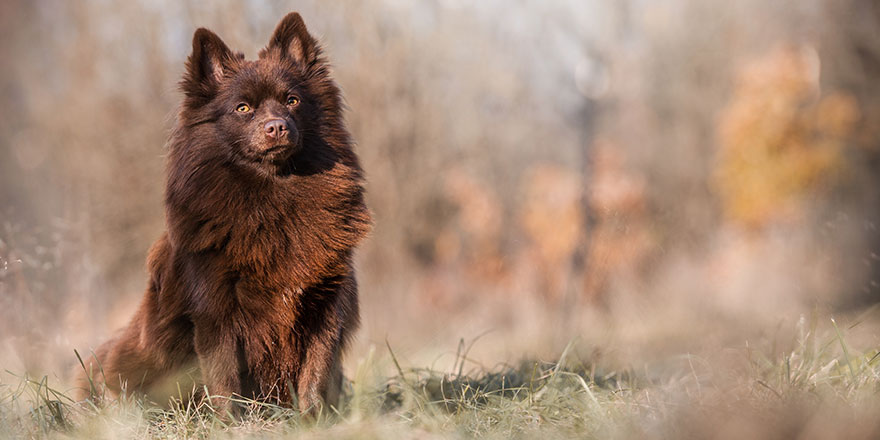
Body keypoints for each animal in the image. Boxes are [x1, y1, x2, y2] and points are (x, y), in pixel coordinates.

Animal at [77, 12, 372, 414]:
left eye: (292, 100)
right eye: (243, 108)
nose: (277, 127)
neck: (273, 194)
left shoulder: (326, 303)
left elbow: (316, 371)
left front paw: (312, 418)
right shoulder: (215, 310)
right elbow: (225, 376)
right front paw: (231, 421)